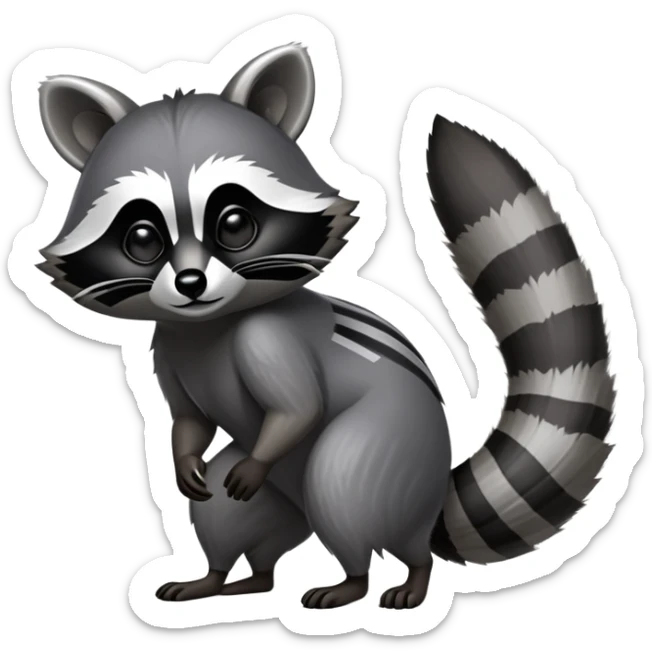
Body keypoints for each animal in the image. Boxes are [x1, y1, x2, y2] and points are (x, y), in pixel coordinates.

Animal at [33, 44, 614, 609]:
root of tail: (432, 496)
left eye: (235, 225)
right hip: (285, 499)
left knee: (344, 492)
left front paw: (266, 447)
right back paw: (232, 578)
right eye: (142, 238)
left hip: (392, 444)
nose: (191, 283)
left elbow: (298, 408)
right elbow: (189, 420)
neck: (208, 324)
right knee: (228, 518)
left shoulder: (267, 336)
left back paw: (376, 578)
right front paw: (183, 457)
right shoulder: (168, 346)